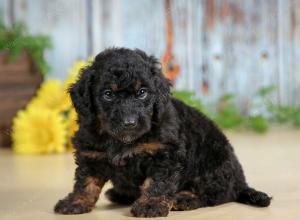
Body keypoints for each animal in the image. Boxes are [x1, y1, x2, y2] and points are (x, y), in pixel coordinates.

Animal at [54, 47, 272, 217]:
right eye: (108, 94)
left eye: (142, 93)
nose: (129, 123)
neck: (123, 141)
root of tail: (240, 183)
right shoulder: (91, 153)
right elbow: (86, 181)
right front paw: (75, 202)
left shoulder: (166, 154)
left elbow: (158, 182)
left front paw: (150, 204)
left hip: (213, 162)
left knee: (214, 195)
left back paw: (184, 199)